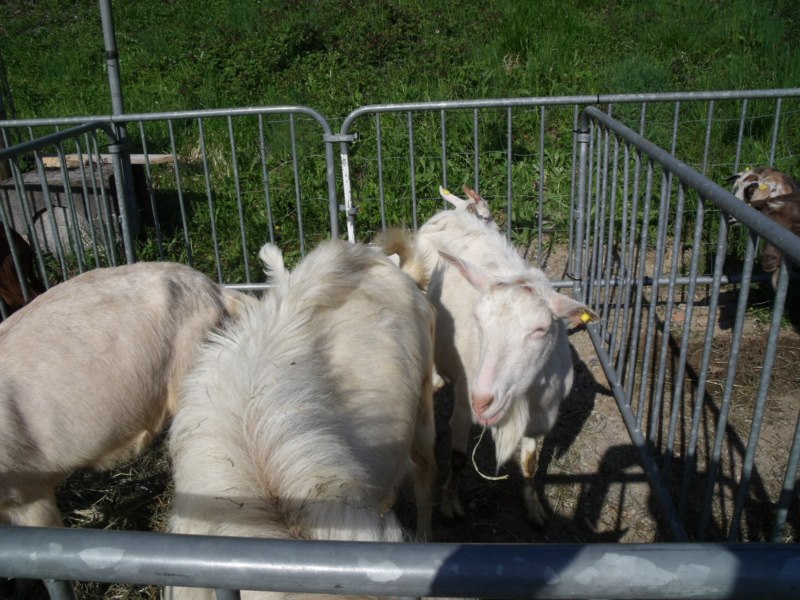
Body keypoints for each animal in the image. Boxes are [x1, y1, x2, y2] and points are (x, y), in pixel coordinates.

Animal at [384, 197, 596, 524]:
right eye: (479, 320)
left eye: (540, 329)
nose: (482, 401)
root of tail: (451, 212)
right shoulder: (463, 403)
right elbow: (458, 458)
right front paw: (451, 504)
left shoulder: (541, 415)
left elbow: (530, 462)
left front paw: (534, 507)